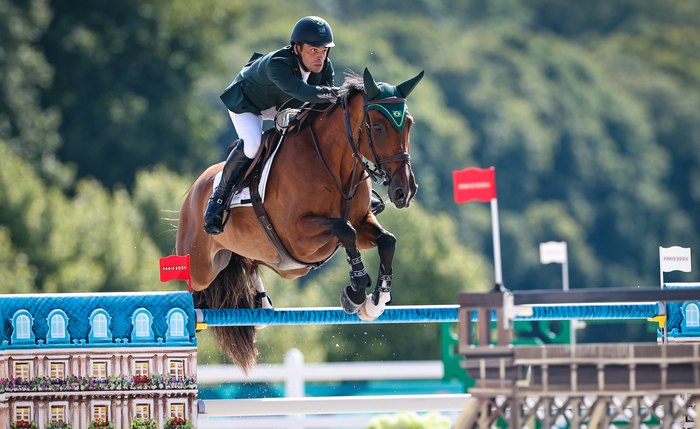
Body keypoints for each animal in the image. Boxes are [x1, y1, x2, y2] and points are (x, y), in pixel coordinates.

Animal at [178, 68, 424, 370]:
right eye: (377, 127)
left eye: (408, 124)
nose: (405, 191)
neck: (336, 166)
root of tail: (194, 189)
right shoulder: (299, 236)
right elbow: (345, 230)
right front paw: (356, 291)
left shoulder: (363, 220)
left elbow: (386, 240)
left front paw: (377, 299)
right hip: (201, 265)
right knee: (193, 287)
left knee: (250, 264)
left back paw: (262, 307)